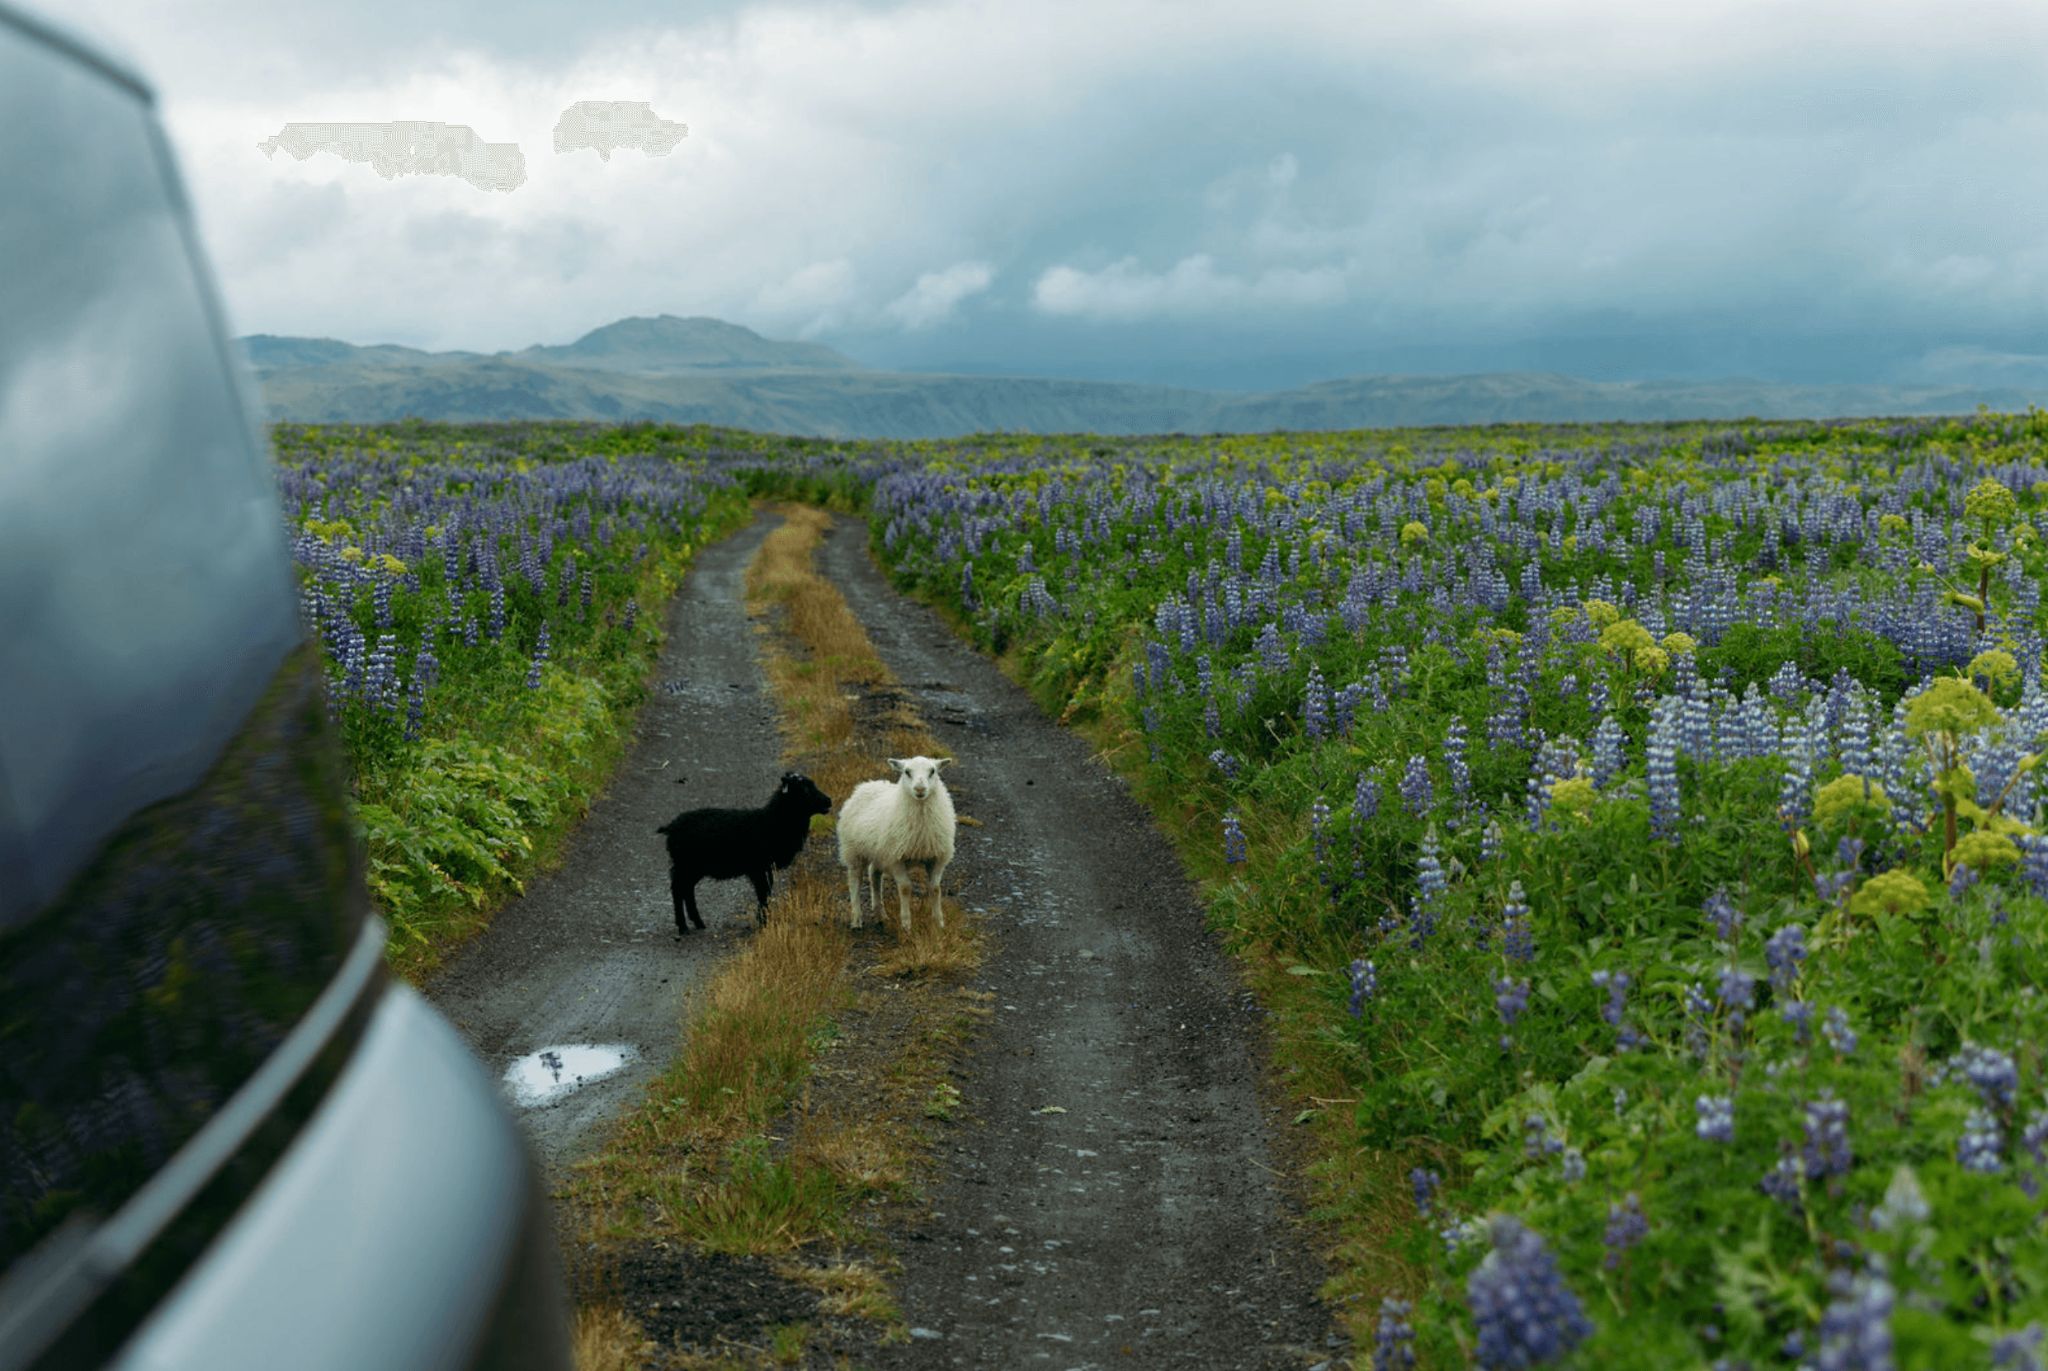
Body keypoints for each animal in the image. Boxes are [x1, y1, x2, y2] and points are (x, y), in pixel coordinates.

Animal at [655, 772, 831, 935]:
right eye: (804, 789)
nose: (829, 801)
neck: (773, 821)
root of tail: (671, 827)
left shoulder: (766, 868)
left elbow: (766, 892)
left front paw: (763, 920)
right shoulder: (759, 868)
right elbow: (763, 893)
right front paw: (763, 922)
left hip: (693, 867)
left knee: (687, 889)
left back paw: (698, 923)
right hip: (686, 864)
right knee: (678, 889)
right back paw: (683, 927)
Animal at [837, 755, 955, 932]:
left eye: (932, 771)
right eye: (907, 772)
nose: (920, 789)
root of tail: (866, 785)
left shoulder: (936, 858)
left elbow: (935, 889)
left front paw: (939, 923)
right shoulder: (895, 858)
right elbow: (905, 888)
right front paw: (906, 925)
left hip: (879, 852)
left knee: (874, 875)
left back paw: (880, 914)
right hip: (854, 852)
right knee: (855, 881)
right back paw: (856, 919)